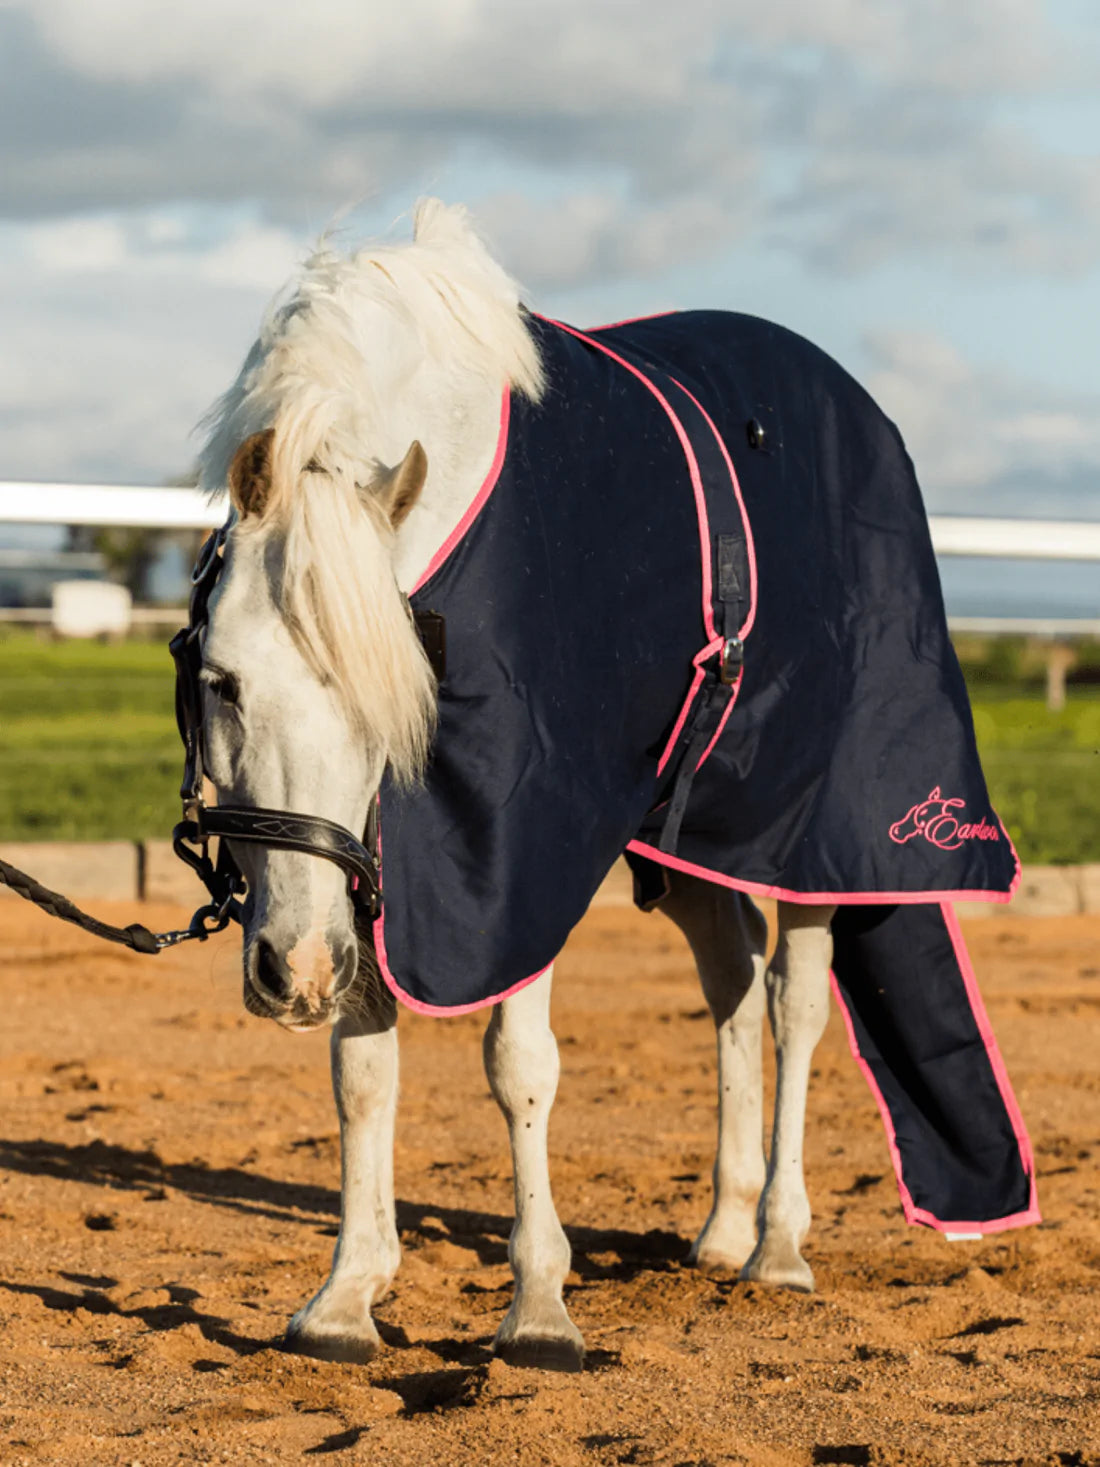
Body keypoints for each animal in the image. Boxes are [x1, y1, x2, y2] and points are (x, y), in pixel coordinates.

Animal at [196, 200, 1032, 1367]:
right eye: (219, 679)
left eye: (389, 700)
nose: (291, 975)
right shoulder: (364, 859)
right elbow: (362, 1072)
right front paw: (346, 1296)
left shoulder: (523, 850)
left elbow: (519, 1064)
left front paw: (540, 1306)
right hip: (688, 846)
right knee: (733, 985)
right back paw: (723, 1229)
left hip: (822, 834)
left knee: (795, 1005)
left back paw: (779, 1244)